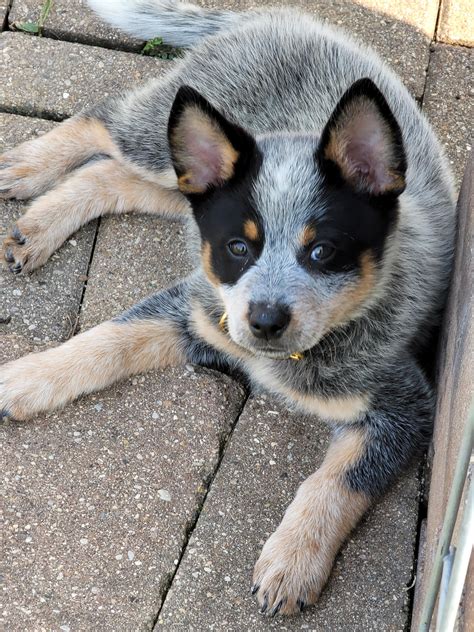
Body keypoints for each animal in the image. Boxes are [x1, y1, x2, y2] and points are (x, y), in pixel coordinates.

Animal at [0, 0, 456, 616]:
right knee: (104, 119)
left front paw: (293, 560)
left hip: (185, 186)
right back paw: (25, 166)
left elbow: (338, 481)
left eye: (323, 250)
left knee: (109, 172)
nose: (264, 321)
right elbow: (105, 338)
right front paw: (24, 377)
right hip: (170, 147)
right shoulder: (198, 309)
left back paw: (38, 224)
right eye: (239, 248)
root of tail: (268, 17)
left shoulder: (404, 407)